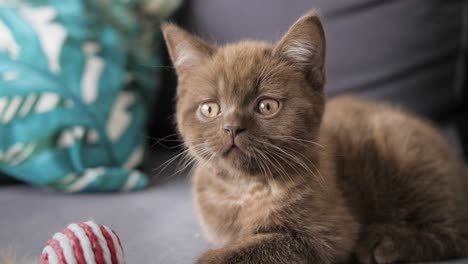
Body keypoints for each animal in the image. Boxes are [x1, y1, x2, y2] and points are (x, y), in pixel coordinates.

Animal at [163, 10, 468, 264]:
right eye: (210, 108)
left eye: (267, 106)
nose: (232, 128)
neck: (245, 189)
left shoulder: (328, 233)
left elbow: (254, 248)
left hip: (405, 156)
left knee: (456, 229)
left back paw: (383, 242)